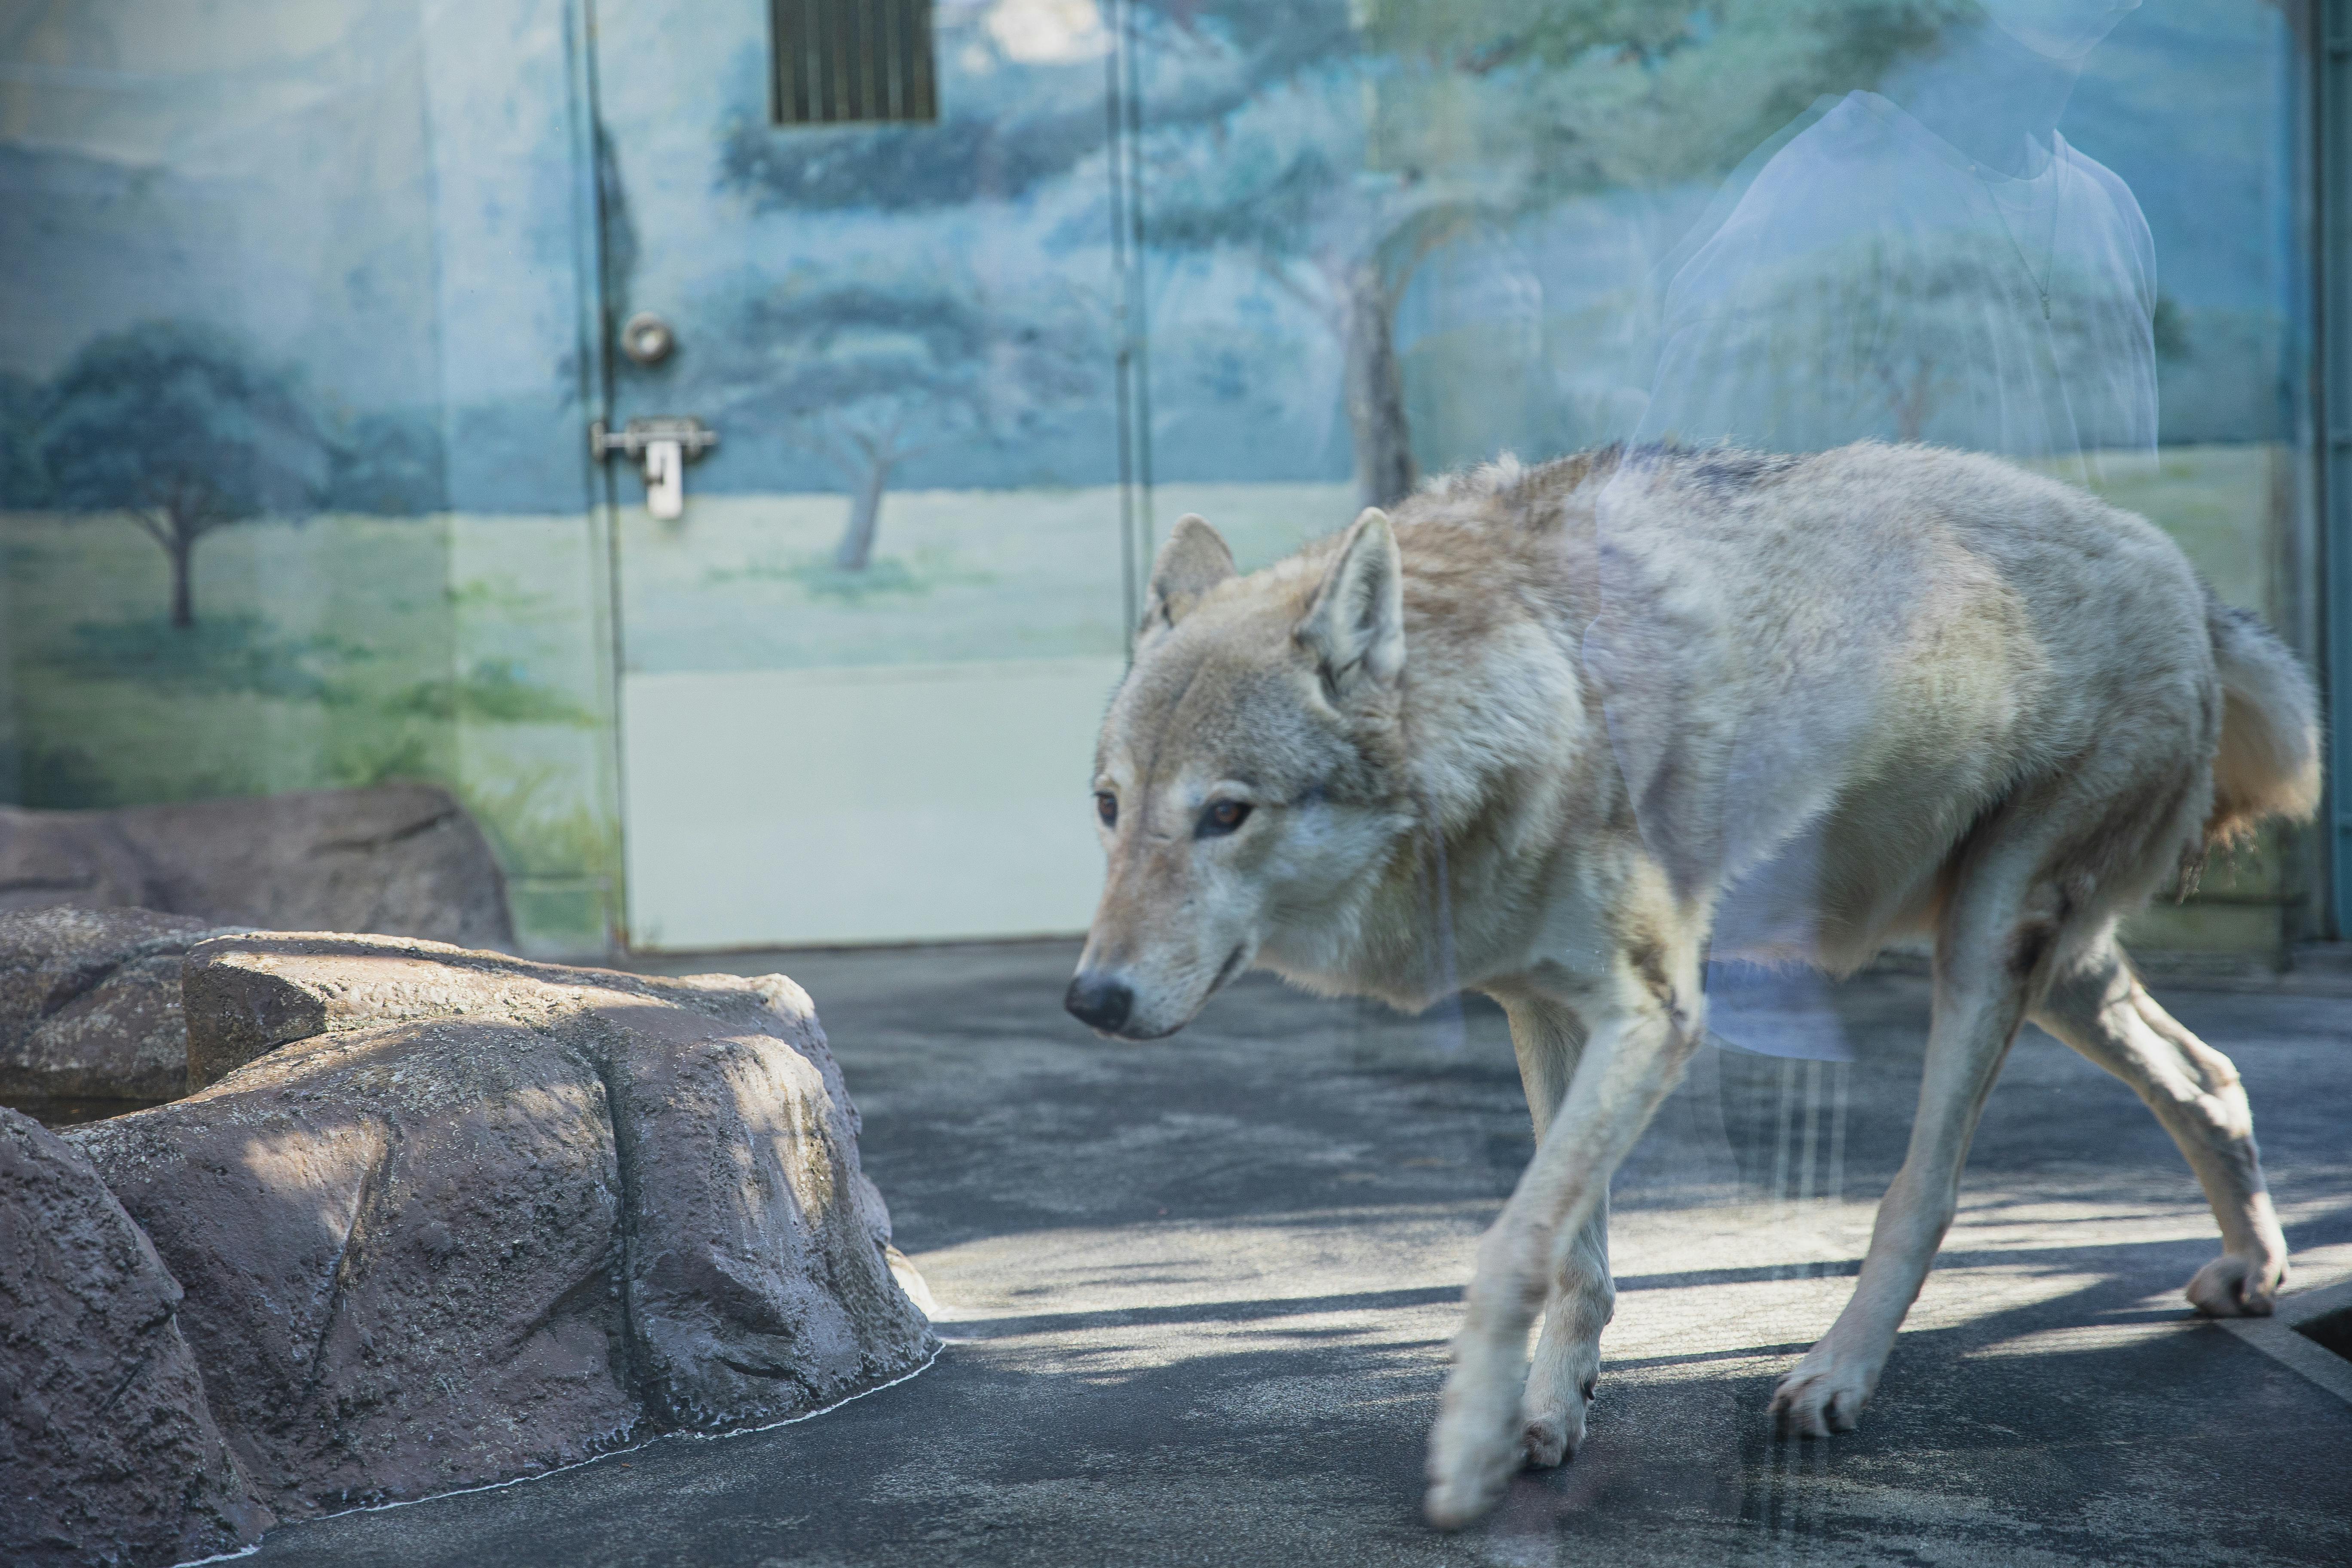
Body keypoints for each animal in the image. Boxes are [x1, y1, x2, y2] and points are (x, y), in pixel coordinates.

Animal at [1072, 442, 2333, 1532]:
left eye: (1225, 813)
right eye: (1109, 806)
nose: (1091, 1000)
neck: (1540, 687)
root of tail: (2188, 577)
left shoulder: (1657, 1017)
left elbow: (1509, 1247)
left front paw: (1471, 1447)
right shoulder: (1544, 1010)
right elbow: (1572, 1254)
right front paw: (1547, 1414)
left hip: (1982, 951)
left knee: (1925, 1192)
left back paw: (1833, 1378)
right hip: (2055, 967)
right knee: (2209, 1076)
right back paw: (2254, 1269)